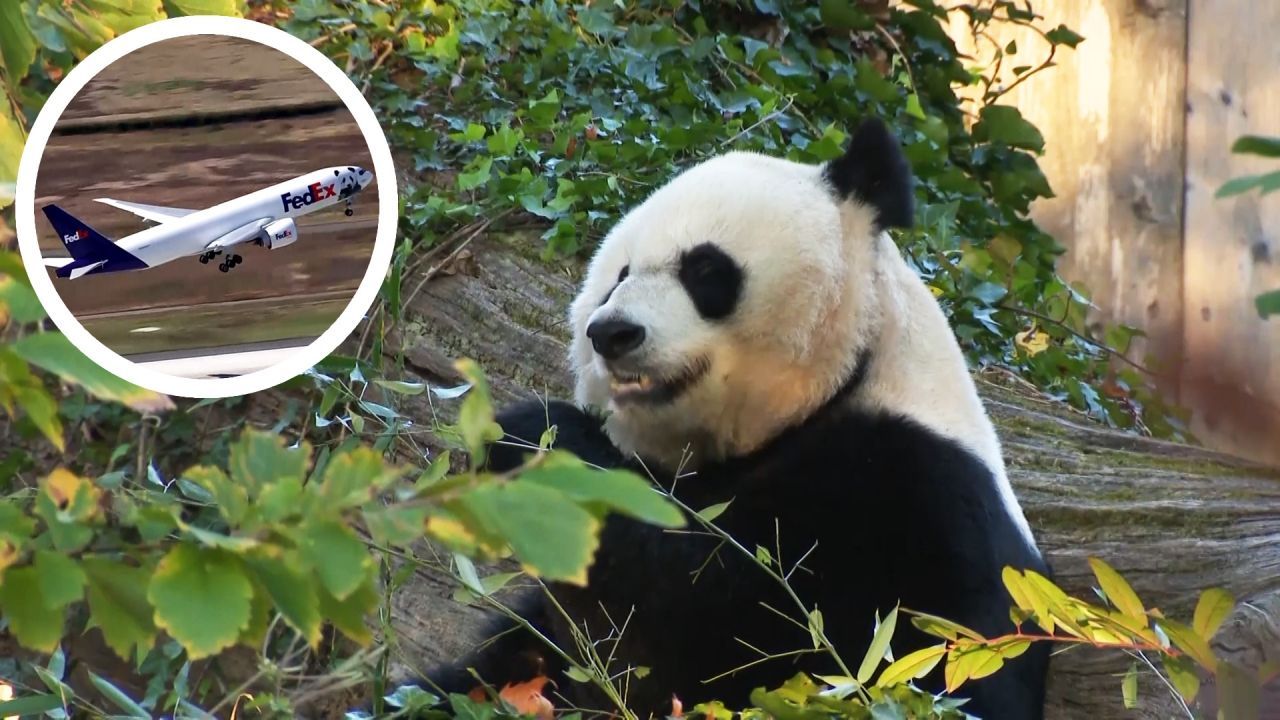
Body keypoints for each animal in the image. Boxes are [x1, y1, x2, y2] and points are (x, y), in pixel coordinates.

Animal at [431, 117, 1050, 720]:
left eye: (705, 268)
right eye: (619, 275)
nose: (612, 332)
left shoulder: (909, 495)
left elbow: (696, 618)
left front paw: (534, 439)